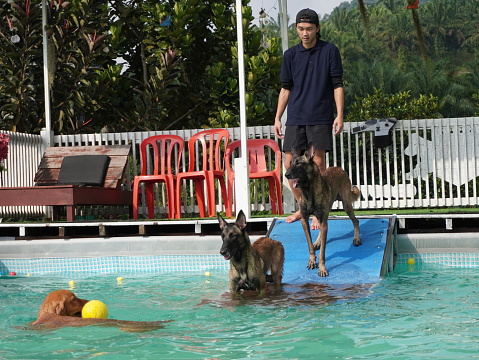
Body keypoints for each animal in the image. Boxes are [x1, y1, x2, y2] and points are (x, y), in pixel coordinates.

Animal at [284, 142, 360, 278]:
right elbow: (309, 245)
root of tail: (339, 168)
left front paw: (322, 268)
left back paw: (357, 238)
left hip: (346, 205)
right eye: (291, 162)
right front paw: (312, 260)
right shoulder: (304, 221)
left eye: (299, 163)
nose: (286, 175)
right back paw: (317, 242)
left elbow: (323, 253)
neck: (309, 192)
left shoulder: (324, 221)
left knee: (356, 221)